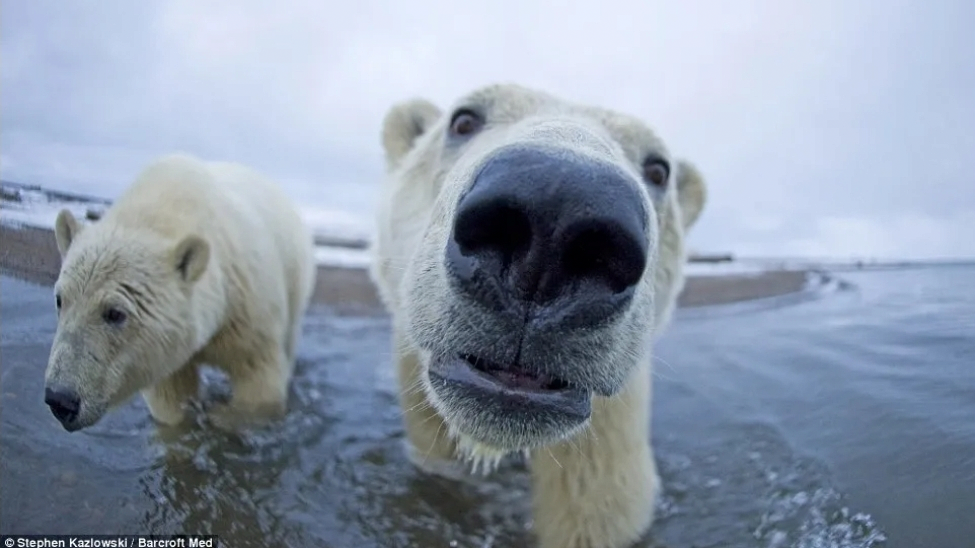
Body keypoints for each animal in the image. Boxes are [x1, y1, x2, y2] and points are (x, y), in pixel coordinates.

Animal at [43, 153, 317, 433]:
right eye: (60, 300)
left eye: (115, 313)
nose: (60, 399)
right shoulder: (163, 352)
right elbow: (171, 401)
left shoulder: (246, 310)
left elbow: (258, 380)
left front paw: (220, 417)